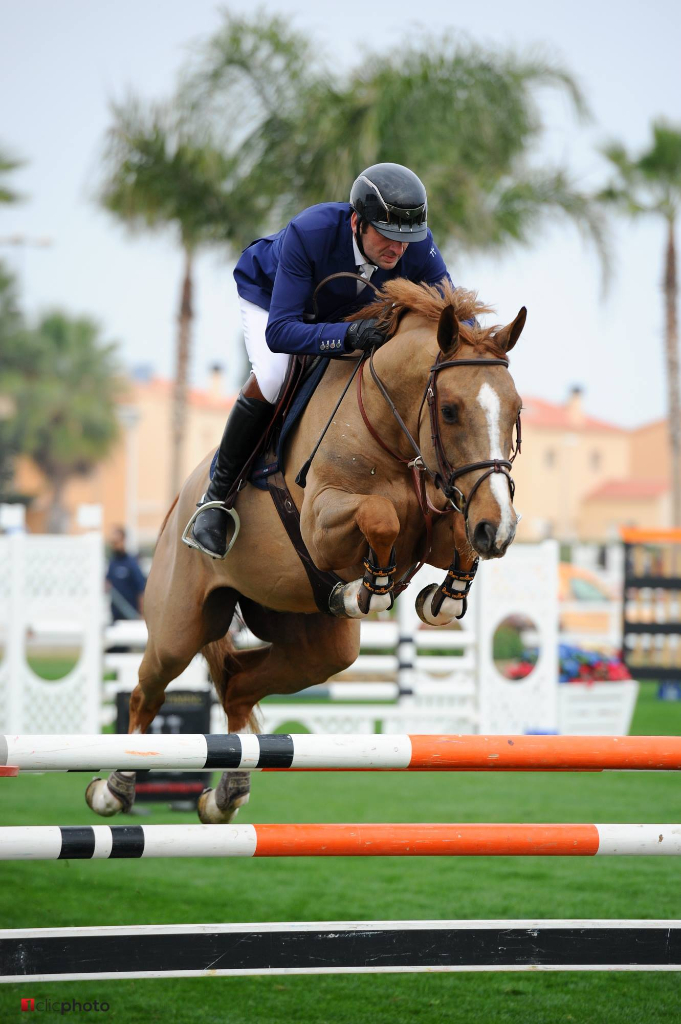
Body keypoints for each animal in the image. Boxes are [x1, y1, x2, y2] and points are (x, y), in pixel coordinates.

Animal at [84, 280, 520, 823]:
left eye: (517, 411)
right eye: (450, 411)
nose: (499, 530)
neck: (391, 431)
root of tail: (180, 500)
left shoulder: (440, 523)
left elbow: (454, 537)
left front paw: (445, 595)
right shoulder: (321, 525)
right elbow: (380, 515)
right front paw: (371, 589)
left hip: (315, 646)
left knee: (239, 686)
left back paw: (225, 794)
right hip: (178, 627)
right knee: (148, 691)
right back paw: (115, 788)